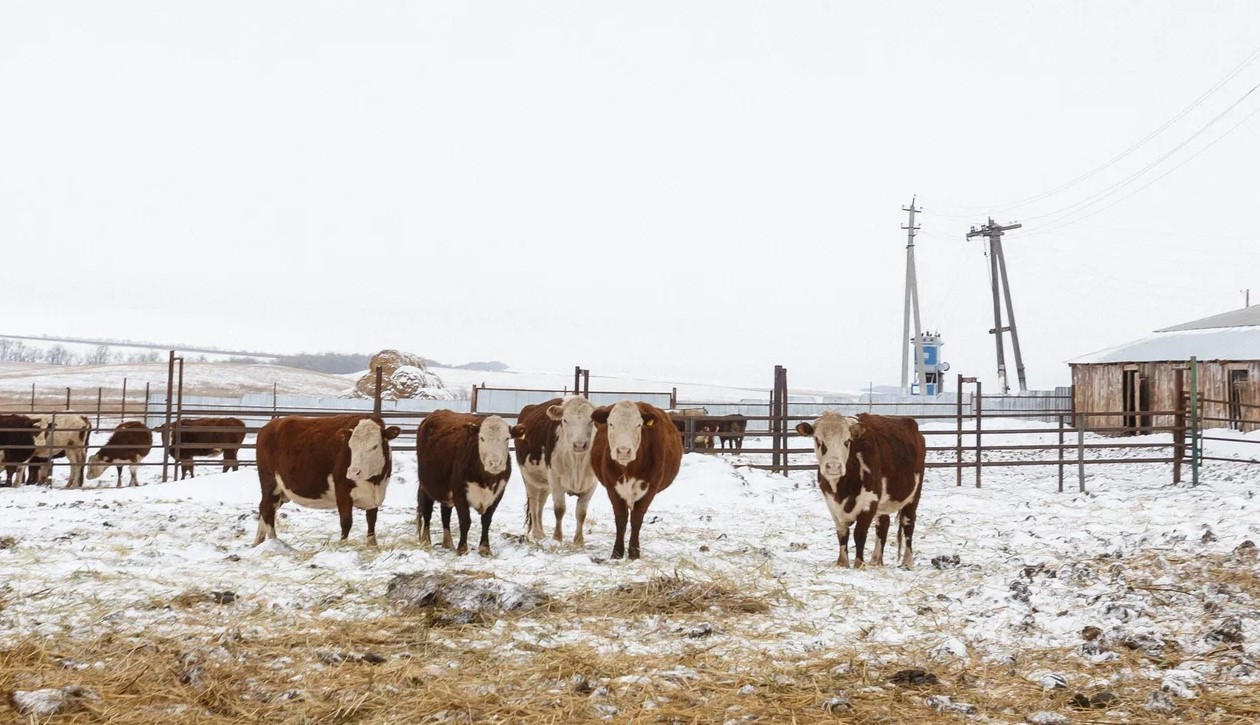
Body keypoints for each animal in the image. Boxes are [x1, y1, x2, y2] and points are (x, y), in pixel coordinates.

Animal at [254, 414, 401, 546]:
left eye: (375, 446)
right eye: (350, 446)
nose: (353, 472)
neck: (374, 481)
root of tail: (269, 426)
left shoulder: (375, 496)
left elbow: (371, 521)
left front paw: (372, 545)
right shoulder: (342, 490)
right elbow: (346, 522)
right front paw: (342, 546)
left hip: (281, 492)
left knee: (265, 508)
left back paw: (258, 542)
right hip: (270, 483)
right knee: (267, 509)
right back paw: (274, 541)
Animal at [415, 410, 526, 556]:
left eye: (507, 438)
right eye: (482, 438)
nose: (495, 463)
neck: (486, 480)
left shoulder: (498, 494)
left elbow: (486, 521)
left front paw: (485, 548)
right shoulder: (459, 492)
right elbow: (465, 521)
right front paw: (462, 548)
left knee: (445, 514)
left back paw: (448, 543)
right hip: (426, 486)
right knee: (427, 512)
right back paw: (426, 540)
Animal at [516, 396, 598, 544]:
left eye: (591, 421)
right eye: (565, 420)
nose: (579, 445)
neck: (577, 462)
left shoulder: (591, 484)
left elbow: (581, 513)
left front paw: (579, 540)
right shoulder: (555, 479)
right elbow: (559, 509)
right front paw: (557, 537)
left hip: (545, 484)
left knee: (541, 504)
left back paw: (542, 532)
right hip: (528, 478)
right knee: (534, 503)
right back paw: (537, 533)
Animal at [591, 400, 683, 560]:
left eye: (638, 425)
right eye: (611, 423)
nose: (623, 451)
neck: (629, 469)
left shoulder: (650, 488)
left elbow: (636, 519)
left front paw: (634, 553)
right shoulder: (612, 487)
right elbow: (621, 519)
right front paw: (617, 553)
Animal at [795, 412, 925, 569]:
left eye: (847, 441)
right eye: (818, 439)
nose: (834, 466)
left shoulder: (869, 502)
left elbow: (859, 533)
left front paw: (859, 563)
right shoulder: (832, 504)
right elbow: (842, 533)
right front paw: (842, 562)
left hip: (913, 496)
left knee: (908, 524)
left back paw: (907, 561)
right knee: (883, 525)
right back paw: (876, 560)